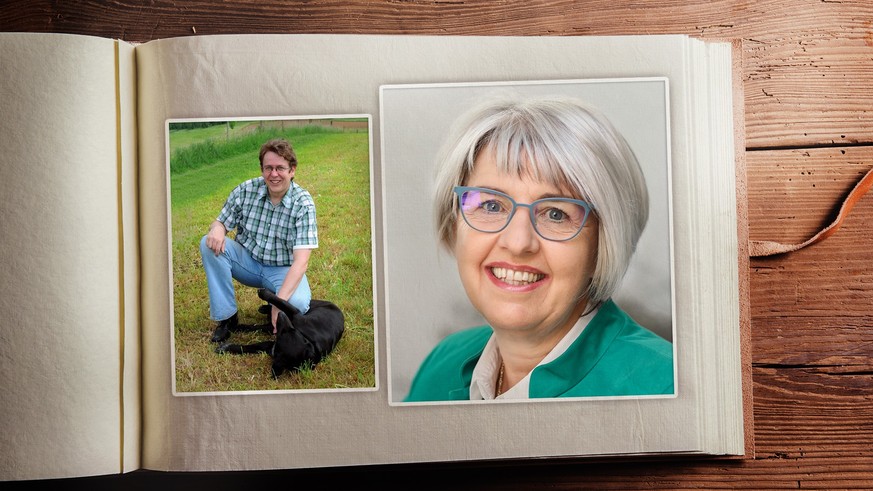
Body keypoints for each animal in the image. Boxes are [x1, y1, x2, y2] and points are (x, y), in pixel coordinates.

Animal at [215, 288, 344, 376]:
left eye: (286, 332)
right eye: (293, 330)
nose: (281, 315)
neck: (308, 340)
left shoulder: (271, 344)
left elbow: (248, 347)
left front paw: (225, 348)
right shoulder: (295, 313)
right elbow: (280, 301)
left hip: (273, 327)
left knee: (263, 326)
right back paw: (264, 309)